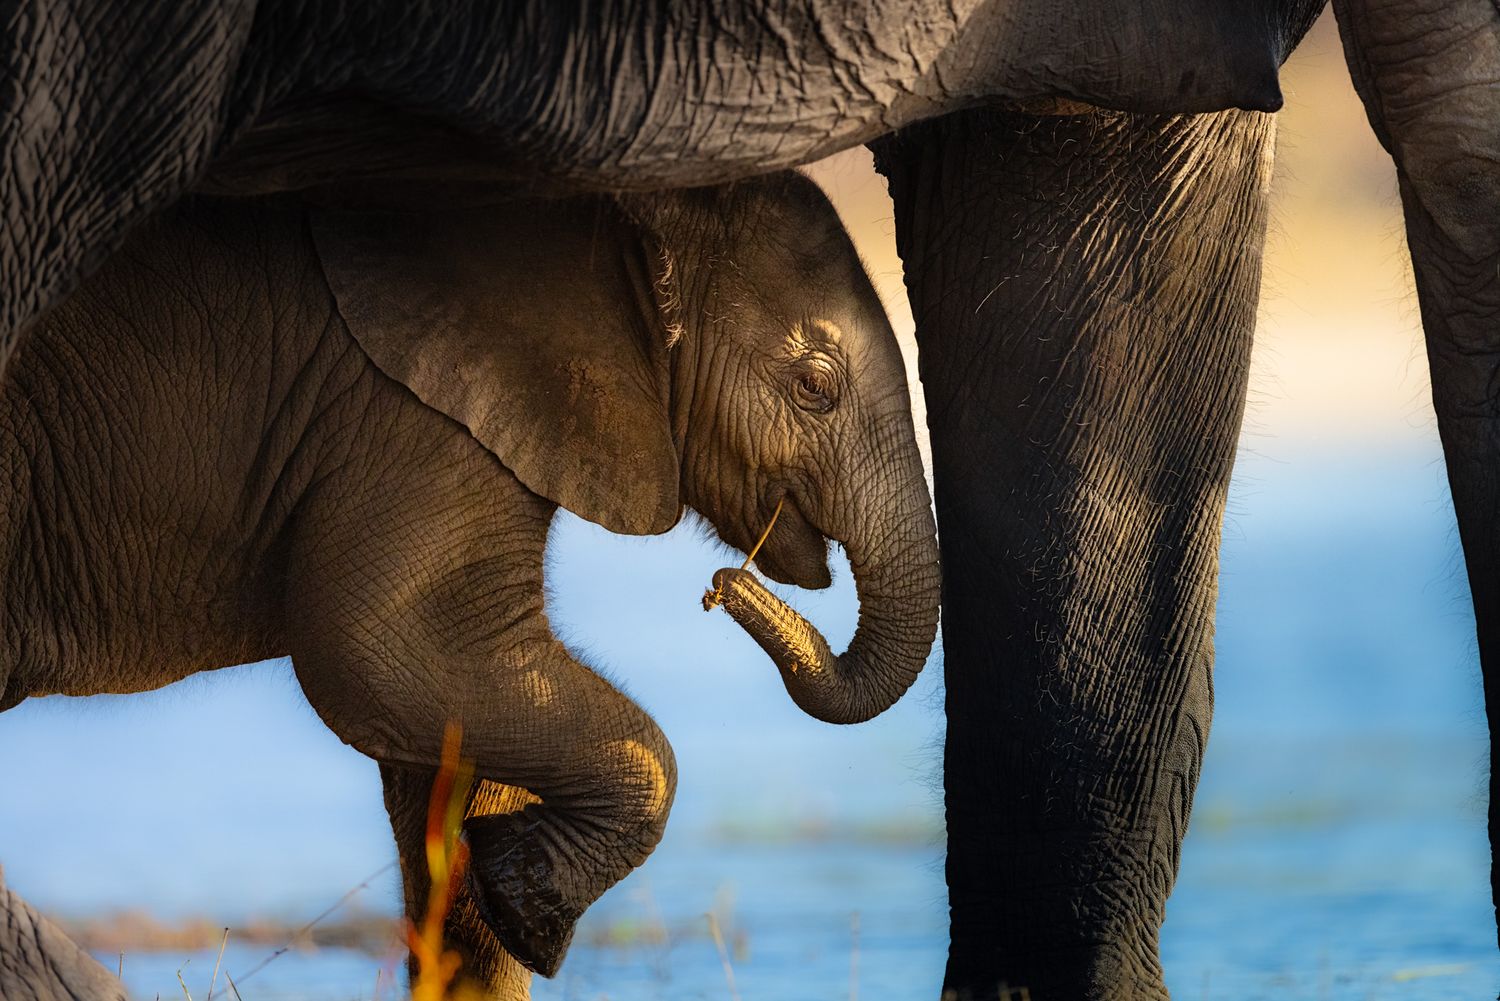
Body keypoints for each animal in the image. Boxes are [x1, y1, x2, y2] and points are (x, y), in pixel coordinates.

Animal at [0, 171, 940, 997]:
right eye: (814, 386)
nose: (720, 586)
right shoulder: (408, 411)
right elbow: (397, 658)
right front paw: (531, 901)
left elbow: (456, 749)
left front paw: (502, 880)